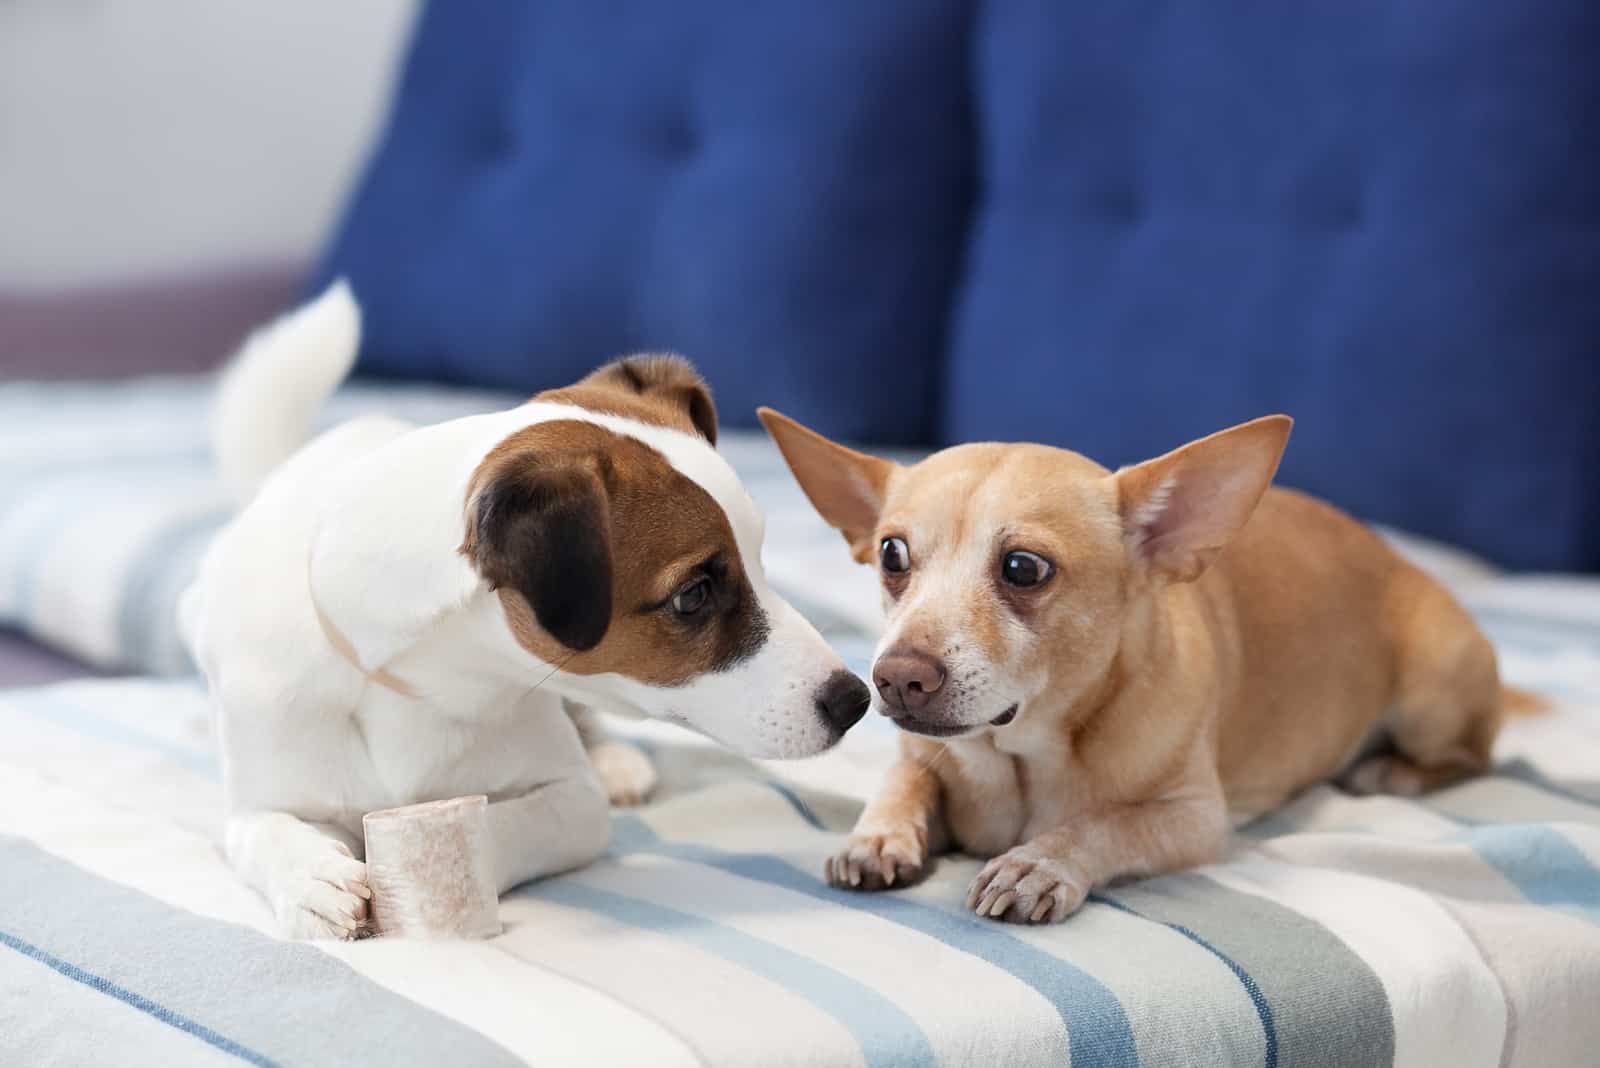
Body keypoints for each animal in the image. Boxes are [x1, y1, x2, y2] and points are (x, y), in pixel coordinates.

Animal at [181, 286, 870, 940]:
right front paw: (313, 880)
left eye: (759, 558)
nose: (855, 700)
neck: (409, 682)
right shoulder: (257, 799)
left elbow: (498, 822)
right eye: (694, 594)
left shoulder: (573, 802)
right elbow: (264, 833)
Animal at [761, 404, 1523, 920]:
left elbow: (1108, 824)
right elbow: (905, 780)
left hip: (1433, 694)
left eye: (1023, 568)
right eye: (891, 555)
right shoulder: (923, 757)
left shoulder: (1195, 820)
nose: (894, 678)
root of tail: (1400, 558)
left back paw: (1390, 770)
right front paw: (878, 835)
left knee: (1474, 754)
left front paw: (1040, 861)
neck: (1023, 761)